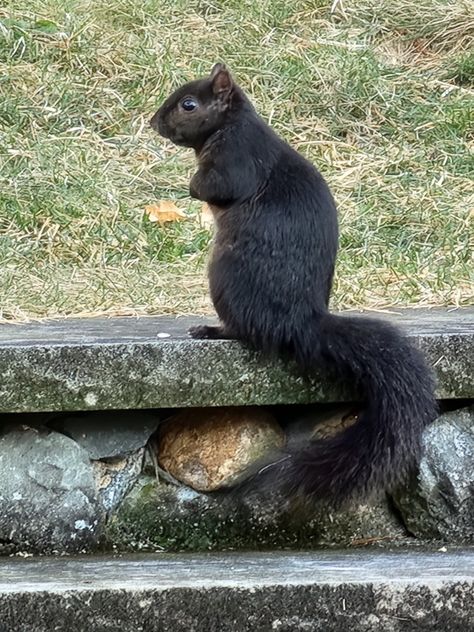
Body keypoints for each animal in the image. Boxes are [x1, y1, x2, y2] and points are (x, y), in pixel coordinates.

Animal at [151, 64, 436, 506]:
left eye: (189, 105)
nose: (154, 122)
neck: (231, 124)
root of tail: (302, 322)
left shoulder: (235, 159)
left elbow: (215, 187)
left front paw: (191, 187)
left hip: (226, 277)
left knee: (247, 332)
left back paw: (213, 330)